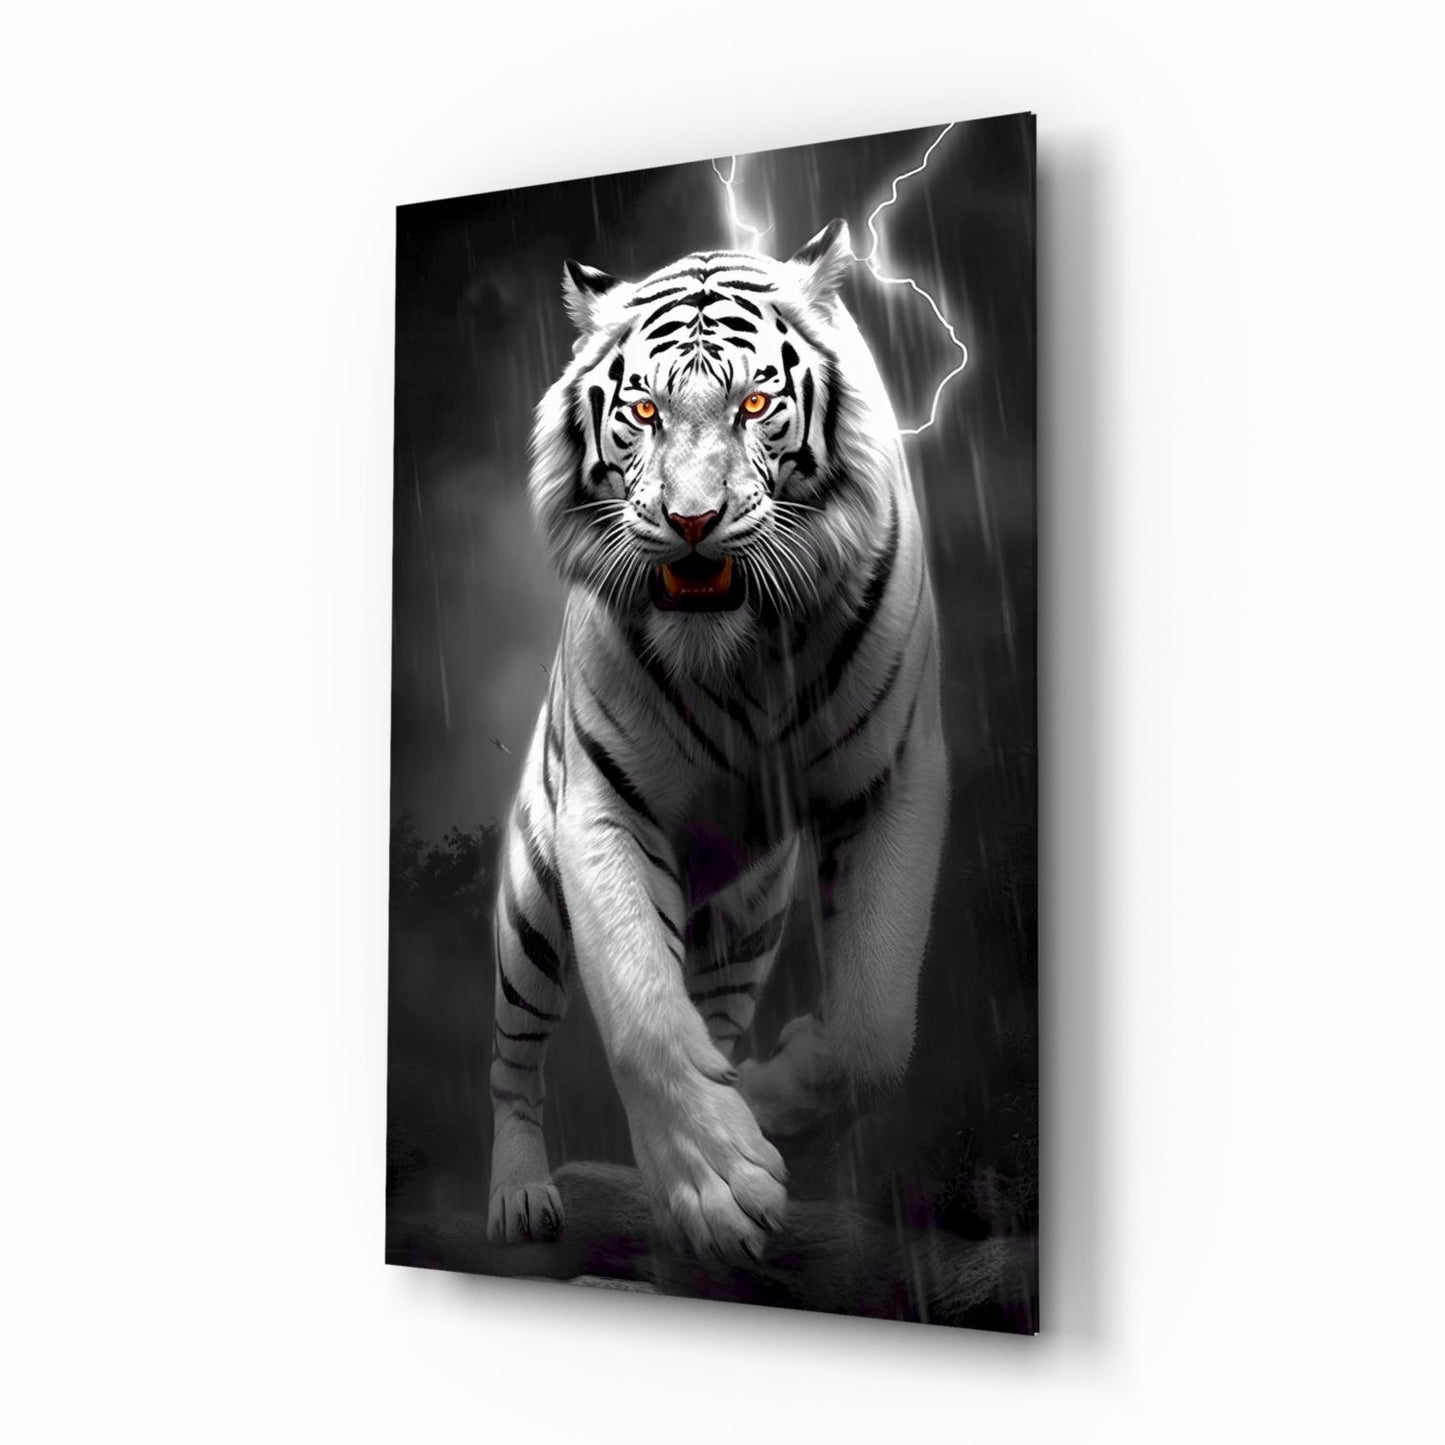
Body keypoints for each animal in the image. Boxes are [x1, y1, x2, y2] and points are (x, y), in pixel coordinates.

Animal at [485, 219, 949, 1263]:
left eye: (755, 403)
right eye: (643, 410)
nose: (691, 522)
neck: (741, 649)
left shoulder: (890, 777)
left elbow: (873, 1029)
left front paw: (766, 1103)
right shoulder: (605, 805)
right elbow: (641, 1011)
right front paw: (716, 1186)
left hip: (748, 918)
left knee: (718, 1007)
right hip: (528, 906)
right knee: (513, 1061)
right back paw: (520, 1194)